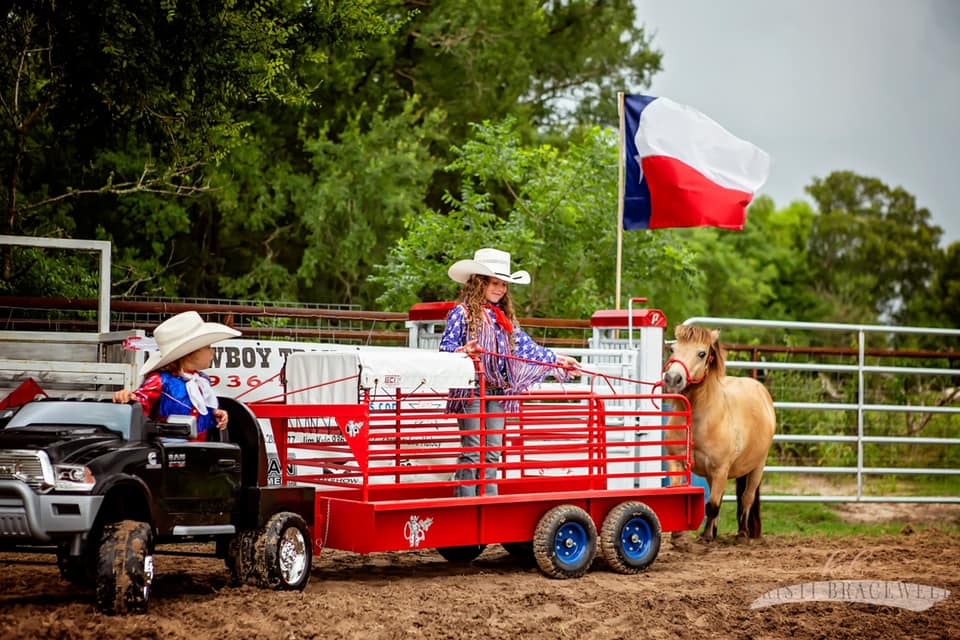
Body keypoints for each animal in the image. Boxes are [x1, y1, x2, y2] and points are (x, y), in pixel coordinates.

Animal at [664, 324, 776, 540]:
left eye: (702, 353)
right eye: (673, 349)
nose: (673, 379)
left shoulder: (720, 469)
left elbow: (713, 506)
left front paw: (706, 537)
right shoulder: (677, 462)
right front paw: (678, 535)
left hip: (757, 466)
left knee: (746, 498)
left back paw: (742, 534)